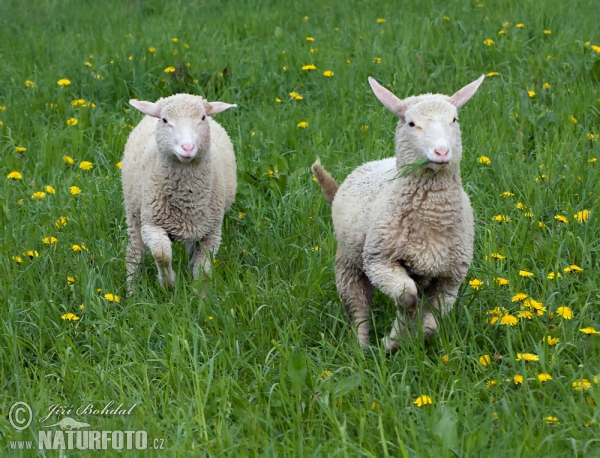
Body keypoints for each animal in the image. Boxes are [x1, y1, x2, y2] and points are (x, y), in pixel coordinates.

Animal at [122, 94, 237, 290]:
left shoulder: (211, 232)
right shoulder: (151, 224)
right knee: (135, 252)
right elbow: (161, 255)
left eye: (202, 118)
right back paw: (132, 289)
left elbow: (202, 270)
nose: (188, 148)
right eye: (165, 120)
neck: (187, 199)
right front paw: (168, 284)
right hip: (134, 214)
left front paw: (200, 294)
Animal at [312, 74, 486, 350]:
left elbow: (431, 324)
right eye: (411, 123)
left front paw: (408, 338)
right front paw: (392, 341)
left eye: (454, 119)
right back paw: (361, 347)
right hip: (349, 262)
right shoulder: (379, 261)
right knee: (357, 306)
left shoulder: (450, 278)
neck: (432, 218)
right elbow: (408, 299)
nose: (441, 152)